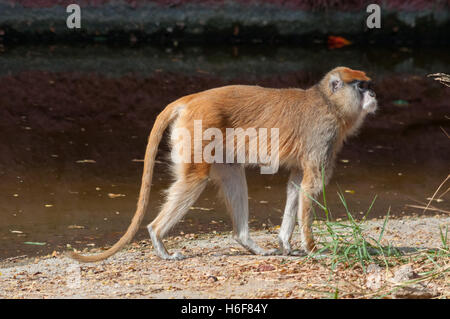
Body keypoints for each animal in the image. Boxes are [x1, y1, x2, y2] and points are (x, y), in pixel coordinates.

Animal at [70, 67, 378, 262]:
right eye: (361, 86)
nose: (374, 95)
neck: (329, 102)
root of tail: (191, 99)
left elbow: (296, 185)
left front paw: (285, 243)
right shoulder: (323, 135)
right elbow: (311, 186)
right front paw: (312, 247)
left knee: (232, 175)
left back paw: (247, 242)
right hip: (198, 130)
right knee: (195, 179)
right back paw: (159, 238)